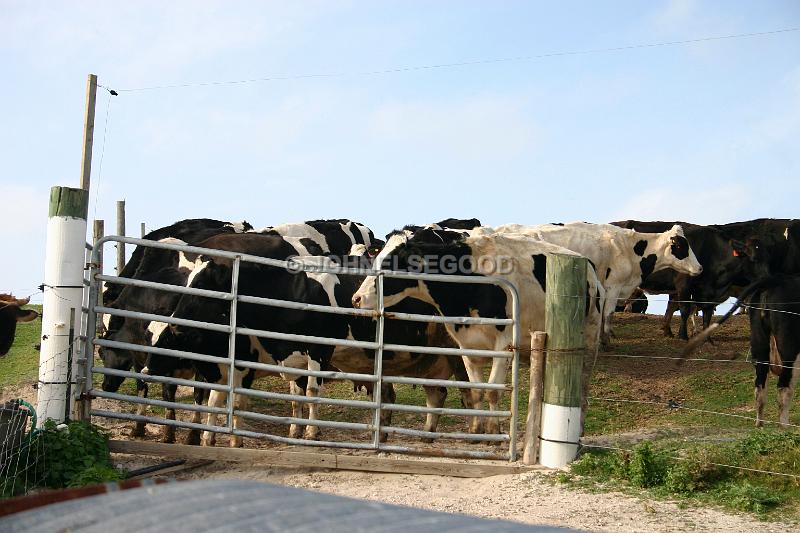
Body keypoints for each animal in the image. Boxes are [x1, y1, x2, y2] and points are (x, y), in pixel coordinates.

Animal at [352, 227, 608, 434]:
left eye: (390, 265)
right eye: (376, 261)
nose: (356, 298)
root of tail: (588, 266)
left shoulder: (504, 342)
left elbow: (493, 390)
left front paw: (494, 429)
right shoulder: (466, 343)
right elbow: (475, 390)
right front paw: (477, 428)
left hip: (589, 339)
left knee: (583, 389)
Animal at [684, 274, 800, 428]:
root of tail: (772, 281)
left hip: (760, 344)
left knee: (759, 386)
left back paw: (760, 424)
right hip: (789, 347)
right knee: (783, 387)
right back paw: (784, 426)